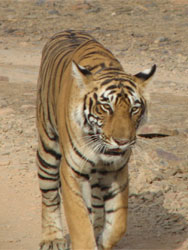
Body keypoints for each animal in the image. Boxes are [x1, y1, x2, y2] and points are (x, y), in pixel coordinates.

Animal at [36, 29, 156, 250]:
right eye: (106, 107)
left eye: (134, 108)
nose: (122, 141)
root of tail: (67, 30)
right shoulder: (72, 171)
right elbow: (80, 222)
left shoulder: (117, 170)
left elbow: (118, 222)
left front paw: (103, 239)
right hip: (47, 148)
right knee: (49, 194)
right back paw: (52, 239)